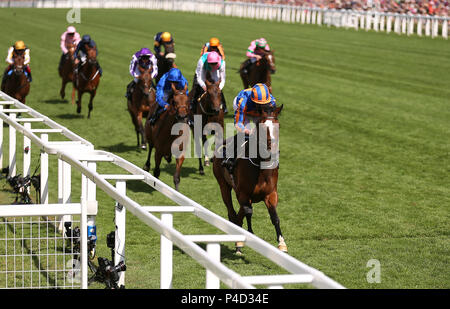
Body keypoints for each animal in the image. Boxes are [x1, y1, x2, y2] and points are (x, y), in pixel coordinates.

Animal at [212, 103, 284, 253]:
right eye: (262, 126)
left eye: (278, 126)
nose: (273, 151)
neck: (261, 168)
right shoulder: (244, 194)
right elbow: (249, 212)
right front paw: (249, 236)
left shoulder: (270, 194)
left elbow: (275, 216)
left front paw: (281, 243)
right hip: (224, 186)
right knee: (232, 213)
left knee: (239, 216)